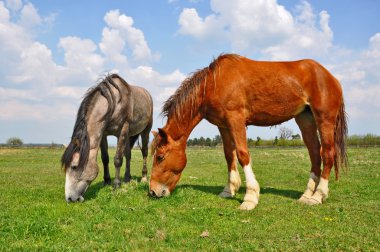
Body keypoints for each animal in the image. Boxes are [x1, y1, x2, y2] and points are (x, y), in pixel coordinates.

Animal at [60, 73, 153, 203]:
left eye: (74, 167)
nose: (69, 198)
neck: (114, 103)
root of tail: (147, 94)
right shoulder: (103, 134)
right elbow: (105, 158)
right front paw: (107, 181)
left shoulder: (122, 131)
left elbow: (118, 159)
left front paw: (116, 185)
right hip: (129, 136)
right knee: (128, 155)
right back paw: (127, 179)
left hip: (145, 131)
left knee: (144, 152)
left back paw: (143, 177)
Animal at [148, 53, 348, 211]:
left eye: (160, 157)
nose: (152, 191)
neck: (214, 83)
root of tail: (331, 77)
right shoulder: (223, 125)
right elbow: (229, 155)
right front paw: (229, 190)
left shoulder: (236, 119)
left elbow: (243, 154)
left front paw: (250, 198)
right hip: (305, 119)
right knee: (315, 154)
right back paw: (306, 195)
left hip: (324, 119)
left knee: (327, 154)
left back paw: (318, 196)